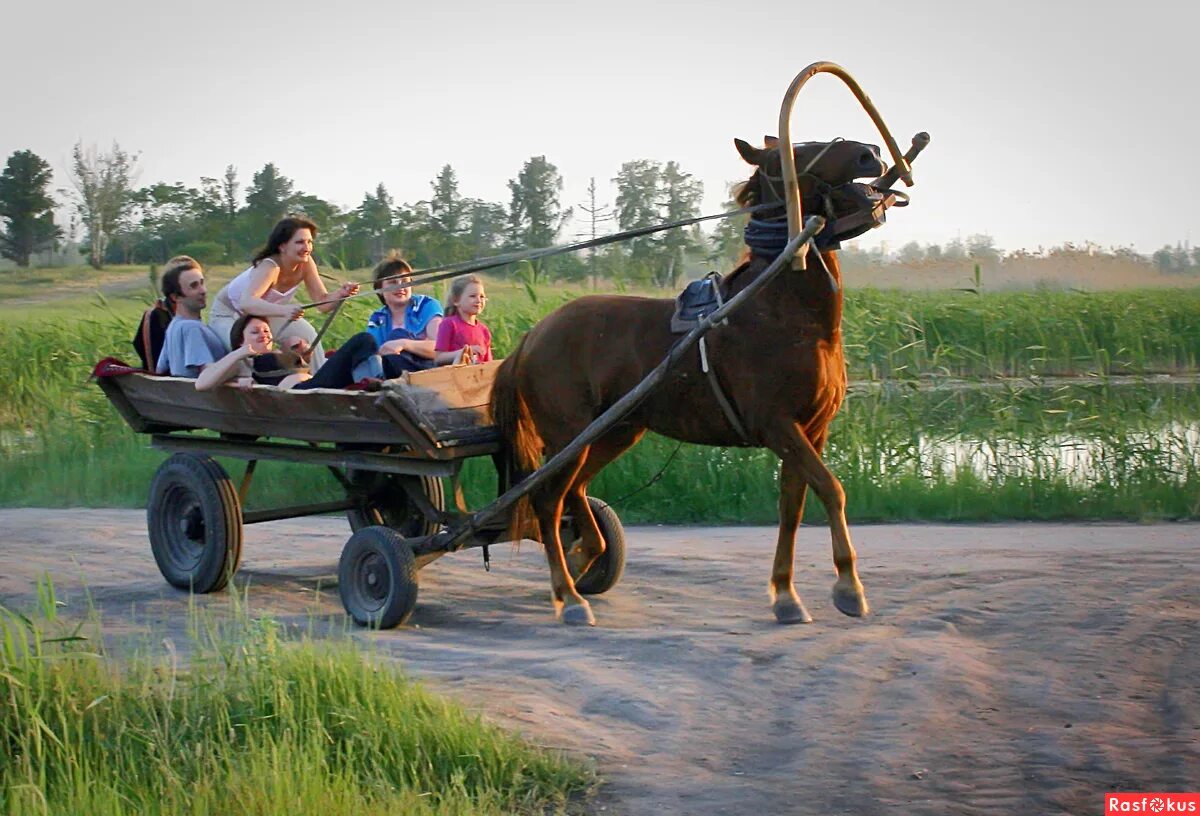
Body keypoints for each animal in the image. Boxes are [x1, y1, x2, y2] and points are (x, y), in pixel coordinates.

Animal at [489, 136, 892, 628]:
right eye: (798, 149)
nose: (870, 153)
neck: (782, 313)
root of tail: (533, 335)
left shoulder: (812, 430)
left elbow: (792, 507)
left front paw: (784, 593)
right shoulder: (777, 425)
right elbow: (832, 490)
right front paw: (849, 587)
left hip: (615, 432)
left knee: (576, 491)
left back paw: (585, 557)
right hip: (568, 435)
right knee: (549, 503)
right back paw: (568, 595)